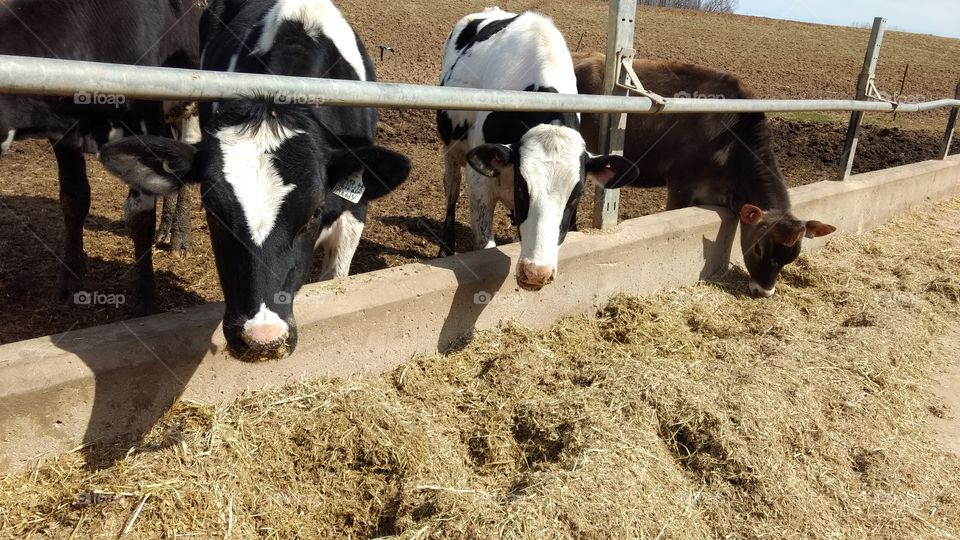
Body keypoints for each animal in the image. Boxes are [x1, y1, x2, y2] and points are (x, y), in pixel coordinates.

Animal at [0, 0, 203, 313]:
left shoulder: (146, 122)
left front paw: (146, 301)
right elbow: (73, 199)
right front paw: (70, 278)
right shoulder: (62, 136)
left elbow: (139, 218)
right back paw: (166, 230)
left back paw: (180, 235)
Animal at [436, 8, 638, 291]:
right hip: (451, 149)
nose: (536, 273)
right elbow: (485, 245)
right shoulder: (479, 183)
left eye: (577, 194)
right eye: (522, 187)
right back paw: (446, 247)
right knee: (451, 190)